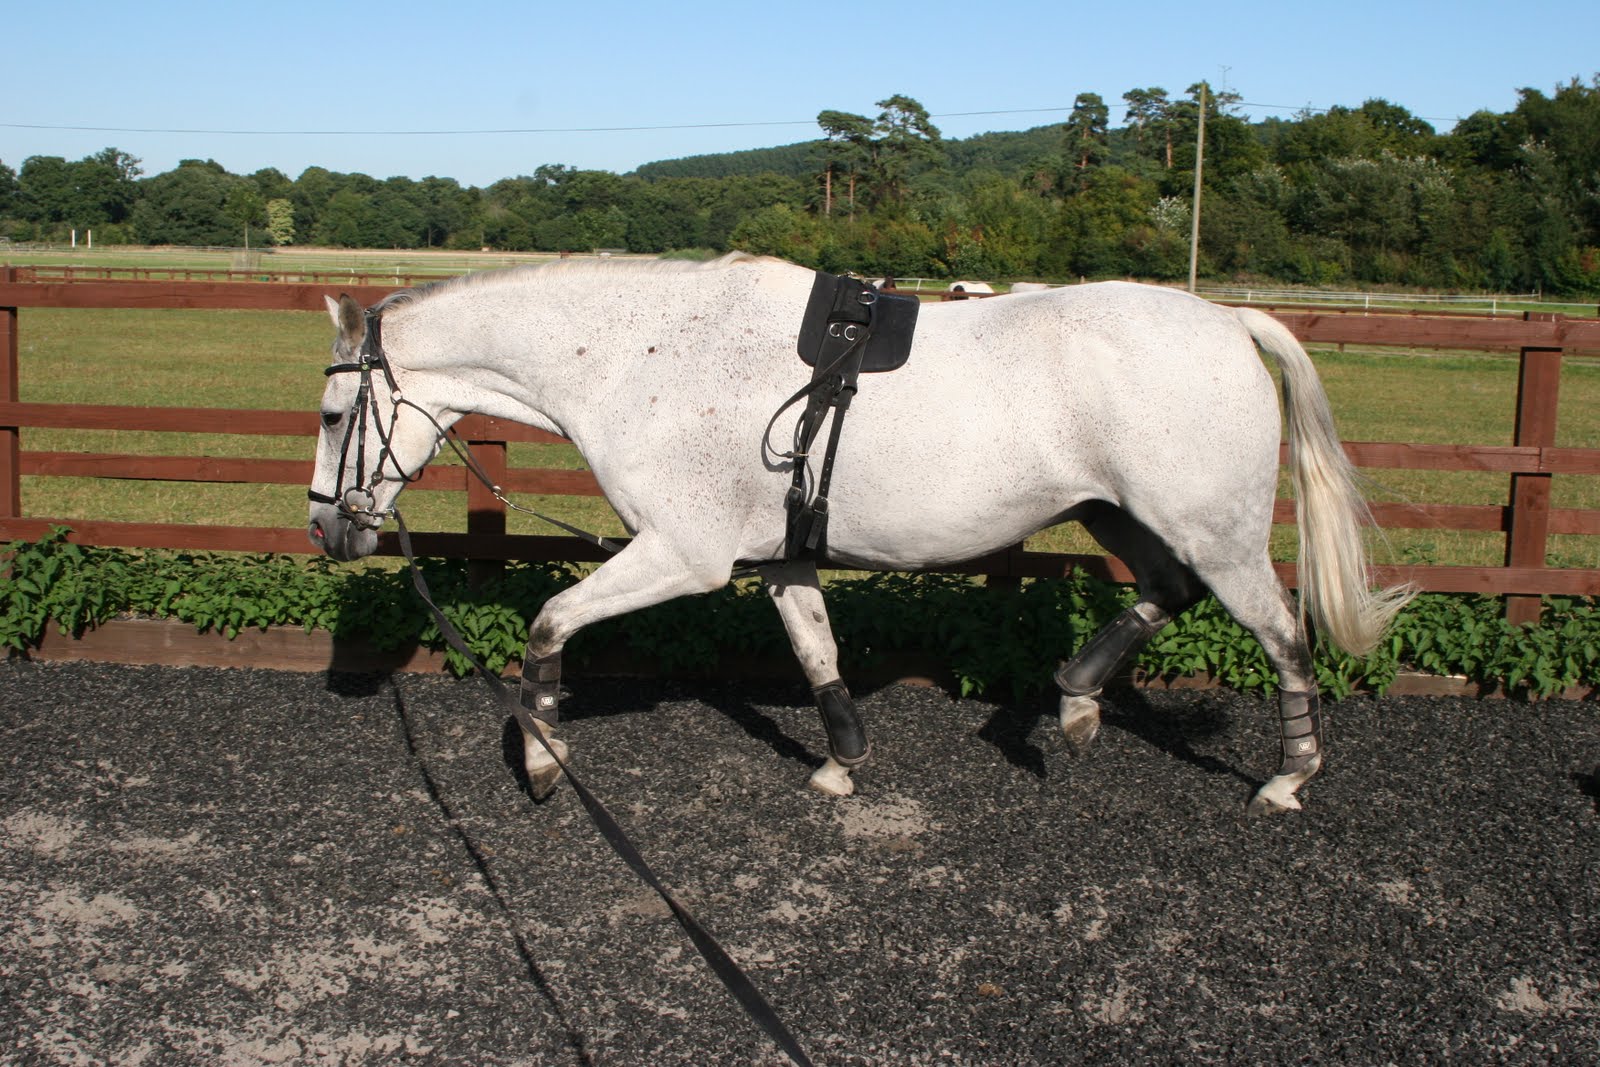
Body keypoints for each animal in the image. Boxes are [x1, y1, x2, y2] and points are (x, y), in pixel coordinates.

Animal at [306, 253, 1411, 814]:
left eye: (330, 414)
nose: (326, 529)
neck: (644, 355)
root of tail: (1228, 321)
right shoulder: (778, 556)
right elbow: (817, 654)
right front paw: (841, 760)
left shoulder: (683, 555)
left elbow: (548, 620)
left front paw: (540, 756)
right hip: (1117, 512)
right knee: (1165, 593)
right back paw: (1075, 701)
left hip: (1218, 534)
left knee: (1283, 637)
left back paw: (1288, 774)